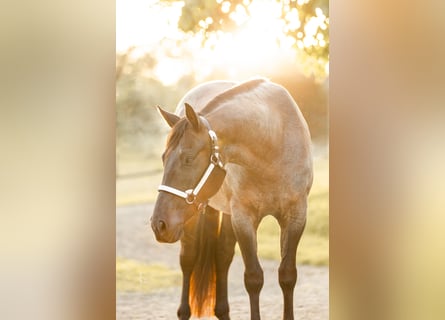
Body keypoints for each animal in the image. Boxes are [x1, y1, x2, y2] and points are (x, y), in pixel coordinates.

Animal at [150, 78, 312, 320]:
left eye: (188, 158)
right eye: (163, 158)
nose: (158, 224)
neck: (273, 142)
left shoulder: (296, 217)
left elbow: (287, 275)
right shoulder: (243, 218)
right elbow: (253, 279)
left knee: (223, 255)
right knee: (188, 259)